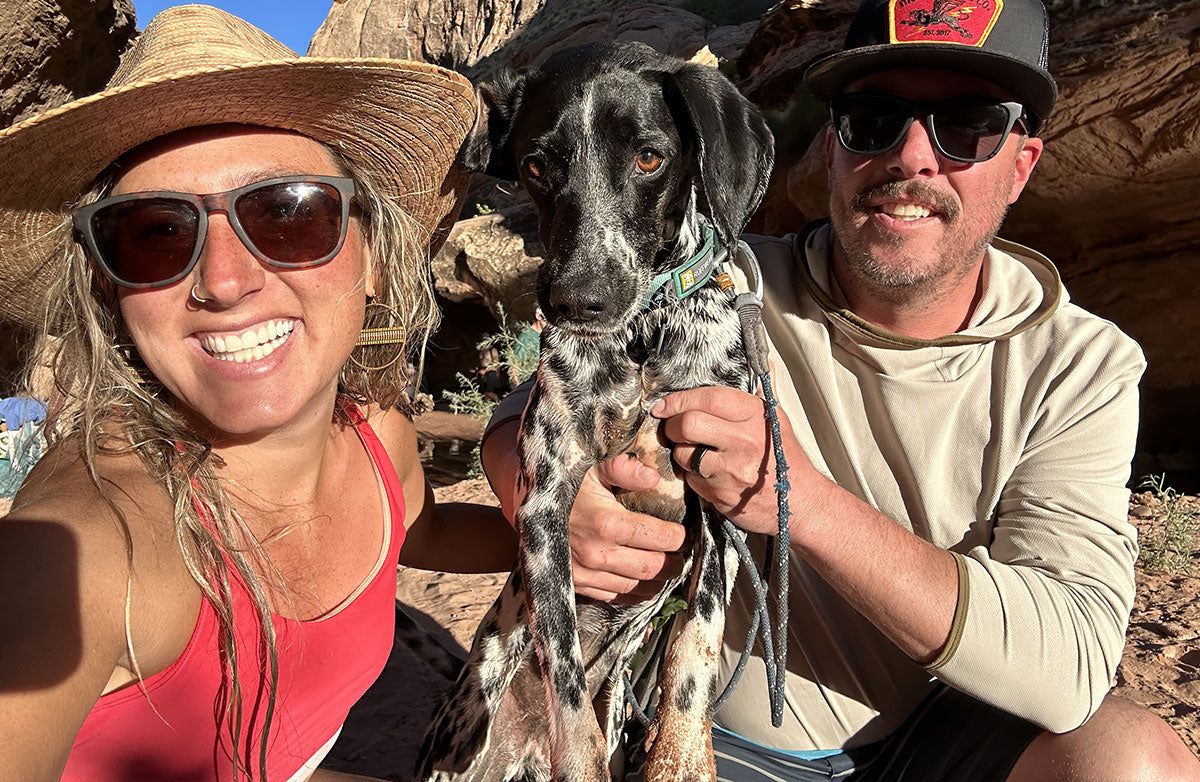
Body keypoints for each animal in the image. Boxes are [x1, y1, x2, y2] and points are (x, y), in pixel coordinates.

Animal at [412, 42, 768, 782]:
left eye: (650, 158)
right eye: (536, 164)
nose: (580, 299)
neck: (645, 337)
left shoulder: (721, 497)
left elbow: (696, 646)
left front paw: (682, 758)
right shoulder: (547, 506)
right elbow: (567, 682)